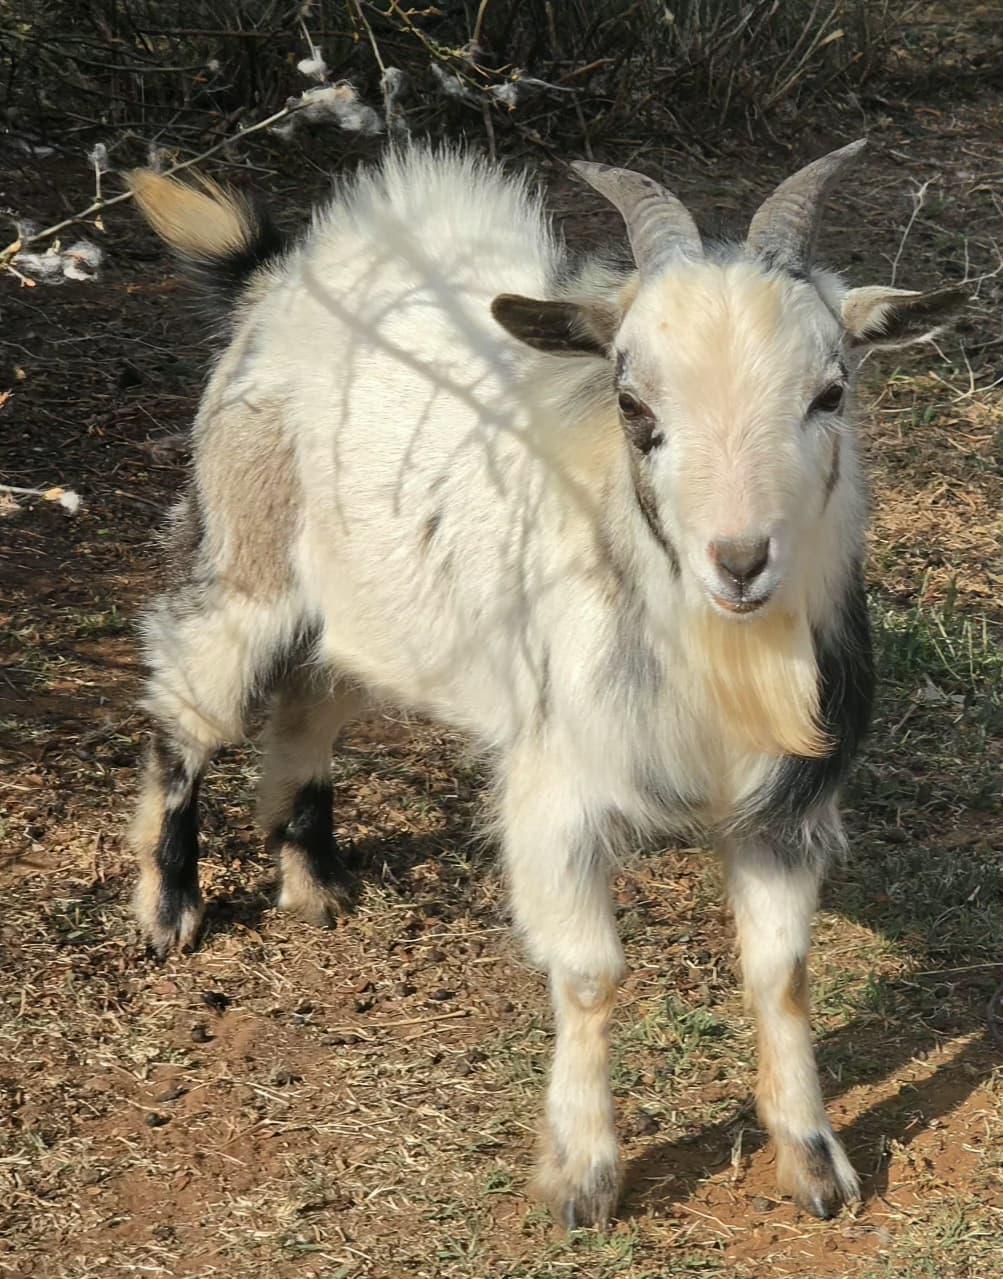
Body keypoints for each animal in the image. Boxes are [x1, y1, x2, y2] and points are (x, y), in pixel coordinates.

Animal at [127, 142, 963, 1228]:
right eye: (634, 406)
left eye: (830, 393)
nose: (739, 562)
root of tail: (279, 272)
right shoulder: (556, 792)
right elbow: (590, 973)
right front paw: (581, 1178)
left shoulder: (786, 804)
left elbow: (779, 974)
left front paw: (816, 1167)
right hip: (247, 563)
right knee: (184, 696)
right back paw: (168, 908)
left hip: (370, 612)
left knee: (312, 701)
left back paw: (315, 882)